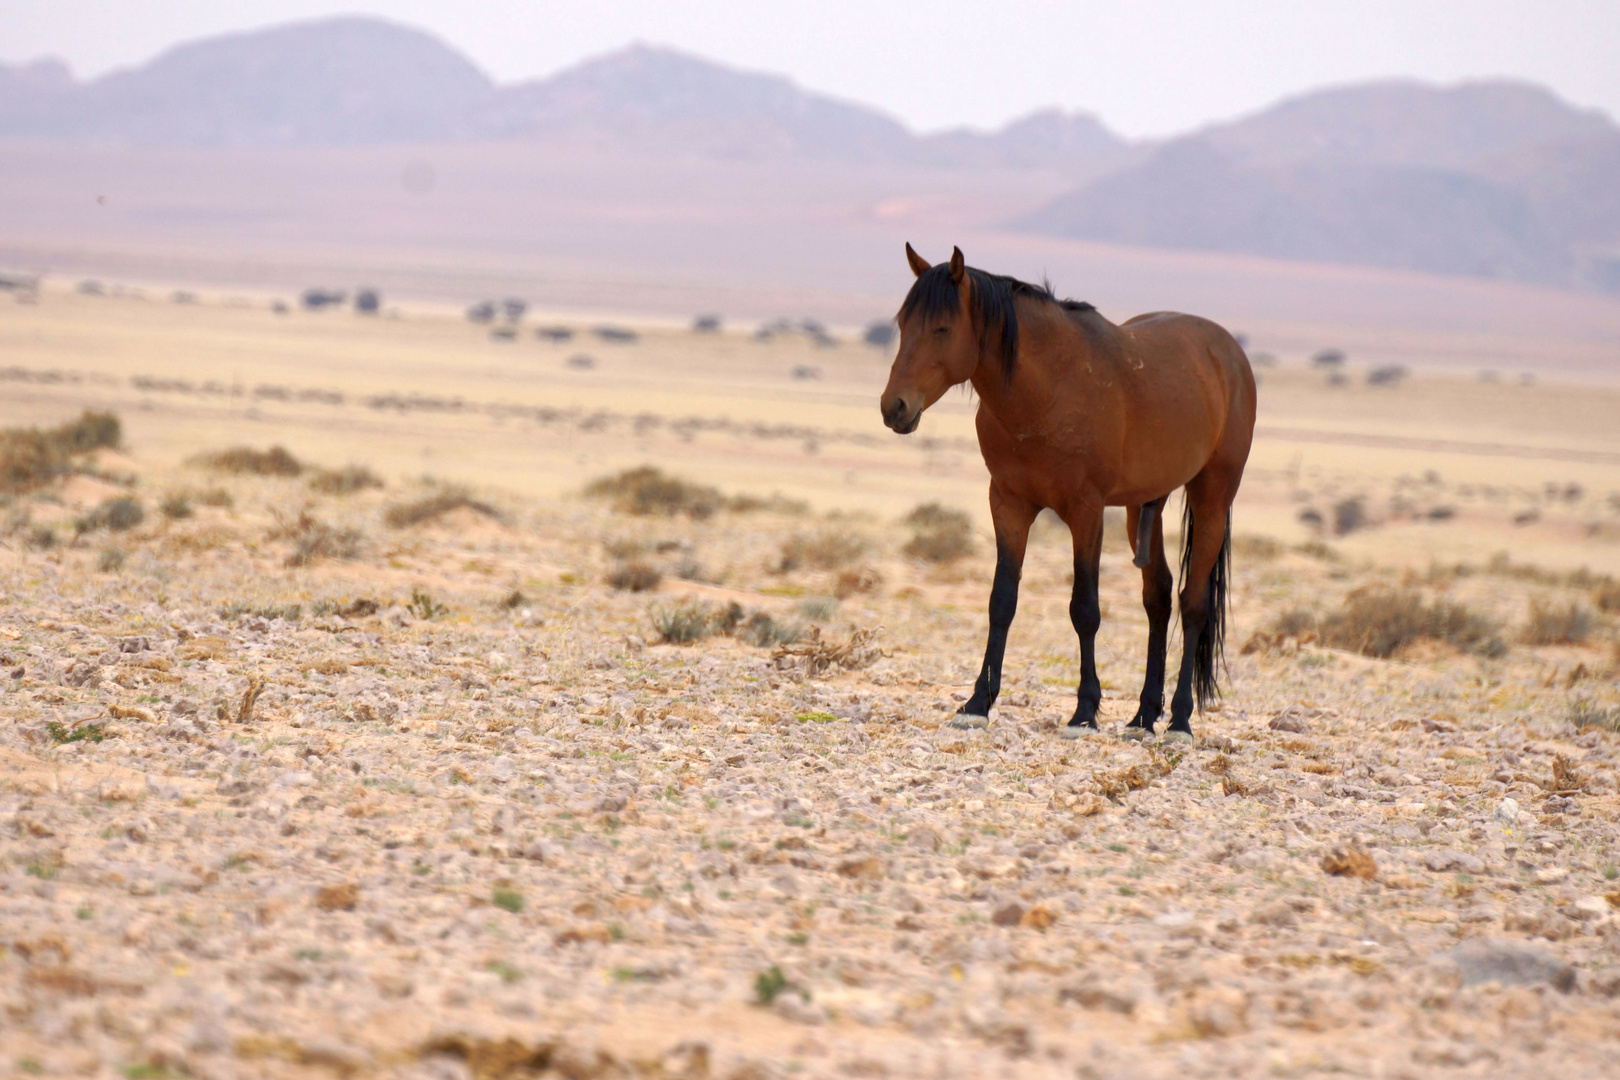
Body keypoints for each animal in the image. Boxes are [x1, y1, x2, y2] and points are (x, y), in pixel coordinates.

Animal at [881, 244, 1257, 738]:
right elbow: (1002, 601)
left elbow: (1085, 609)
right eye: (903, 325)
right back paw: (1143, 716)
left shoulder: (1086, 511)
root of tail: (1229, 352)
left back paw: (1178, 720)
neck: (1048, 391)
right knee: (1157, 598)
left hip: (1212, 494)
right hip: (1141, 506)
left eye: (942, 328)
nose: (894, 407)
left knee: (1193, 604)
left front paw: (1084, 711)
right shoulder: (1009, 504)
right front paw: (977, 703)